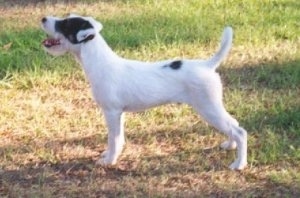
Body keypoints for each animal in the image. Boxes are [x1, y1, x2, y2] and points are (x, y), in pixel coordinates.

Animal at [41, 13, 247, 169]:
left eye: (65, 24)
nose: (43, 18)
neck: (99, 61)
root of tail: (207, 65)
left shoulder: (111, 112)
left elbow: (113, 139)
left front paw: (109, 160)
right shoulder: (119, 114)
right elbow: (118, 138)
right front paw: (109, 155)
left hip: (208, 108)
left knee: (240, 131)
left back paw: (239, 164)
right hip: (212, 107)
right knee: (234, 124)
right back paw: (230, 145)